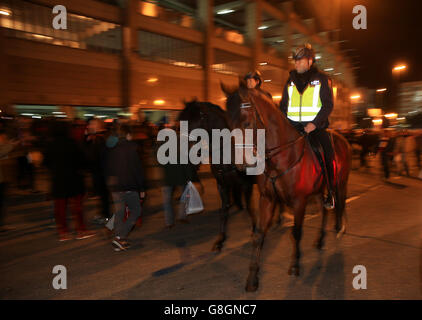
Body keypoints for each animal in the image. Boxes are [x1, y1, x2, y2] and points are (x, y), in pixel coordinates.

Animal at [177, 100, 256, 252]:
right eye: (181, 119)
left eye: (201, 117)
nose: (184, 148)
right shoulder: (222, 185)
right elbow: (223, 210)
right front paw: (220, 239)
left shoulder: (247, 184)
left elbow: (251, 207)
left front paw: (255, 230)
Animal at [223, 81, 352, 292]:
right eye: (228, 125)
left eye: (247, 123)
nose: (240, 163)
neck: (281, 157)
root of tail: (344, 139)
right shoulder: (267, 199)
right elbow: (259, 234)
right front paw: (252, 278)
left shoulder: (299, 201)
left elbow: (296, 232)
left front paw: (295, 265)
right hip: (319, 190)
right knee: (325, 212)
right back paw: (320, 239)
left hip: (340, 184)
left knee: (338, 205)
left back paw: (339, 229)